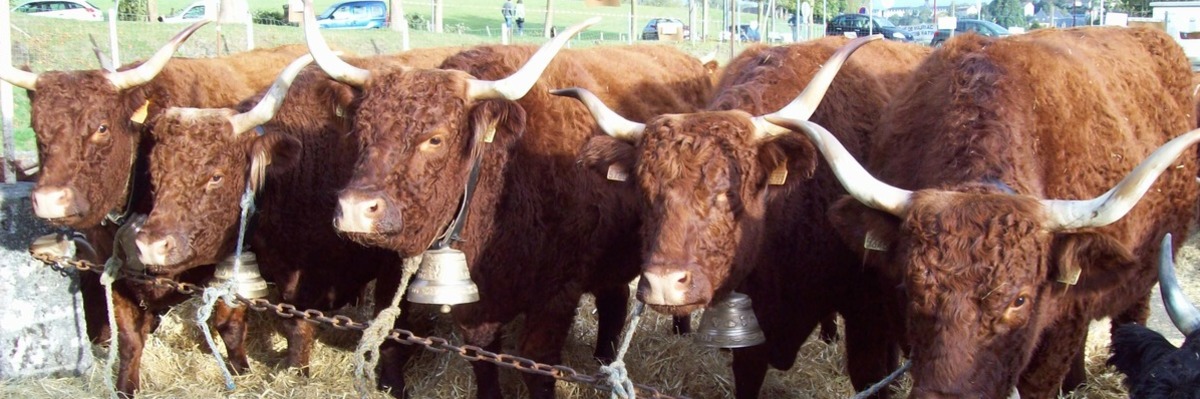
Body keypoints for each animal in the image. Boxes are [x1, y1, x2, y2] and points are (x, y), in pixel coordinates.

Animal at [0, 21, 314, 396]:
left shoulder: (232, 256)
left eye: (101, 127)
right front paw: (125, 385)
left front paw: (240, 370)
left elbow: (229, 322)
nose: (49, 199)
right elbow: (129, 338)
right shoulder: (114, 271)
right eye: (36, 128)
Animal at [130, 47, 458, 377]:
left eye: (216, 176)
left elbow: (379, 330)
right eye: (155, 172)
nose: (150, 245)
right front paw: (263, 370)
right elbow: (257, 324)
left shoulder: (385, 265)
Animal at [298, 4, 710, 396]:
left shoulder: (557, 294)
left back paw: (678, 330)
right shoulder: (477, 304)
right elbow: (482, 354)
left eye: (436, 138)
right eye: (360, 129)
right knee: (614, 298)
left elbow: (537, 364)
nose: (355, 210)